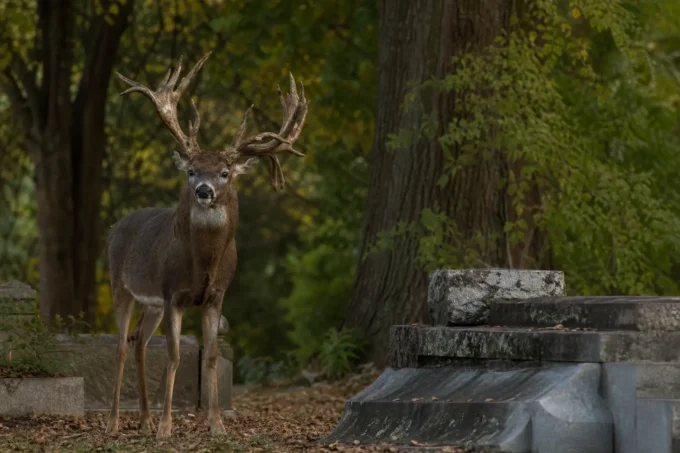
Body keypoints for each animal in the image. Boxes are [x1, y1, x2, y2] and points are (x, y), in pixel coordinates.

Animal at [105, 52, 308, 438]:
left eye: (225, 173)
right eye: (191, 171)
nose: (203, 191)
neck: (204, 262)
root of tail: (115, 226)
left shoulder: (216, 295)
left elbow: (212, 356)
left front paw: (216, 425)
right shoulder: (173, 293)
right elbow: (173, 356)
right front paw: (166, 428)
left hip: (151, 303)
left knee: (139, 341)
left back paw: (144, 419)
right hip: (120, 285)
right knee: (121, 345)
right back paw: (115, 423)